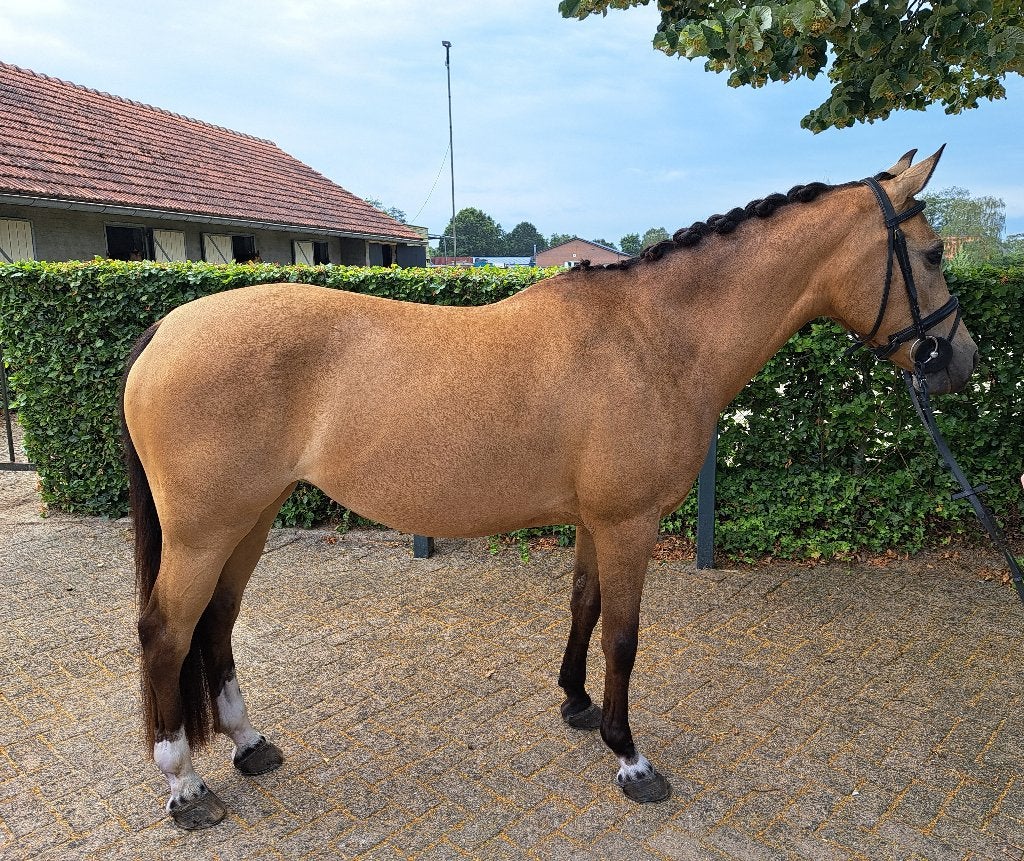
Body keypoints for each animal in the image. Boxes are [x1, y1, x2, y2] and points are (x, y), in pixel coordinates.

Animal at [121, 148, 978, 829]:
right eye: (934, 253)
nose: (960, 360)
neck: (654, 336)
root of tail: (168, 328)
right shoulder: (630, 522)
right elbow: (624, 635)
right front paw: (631, 757)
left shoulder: (597, 522)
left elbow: (583, 607)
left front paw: (577, 704)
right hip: (205, 529)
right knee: (166, 631)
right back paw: (185, 785)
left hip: (250, 518)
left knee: (217, 623)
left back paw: (249, 744)